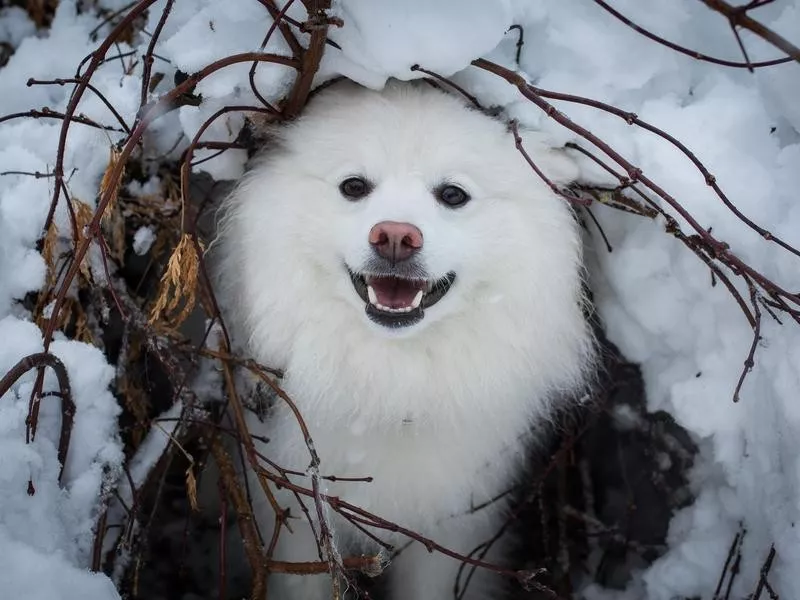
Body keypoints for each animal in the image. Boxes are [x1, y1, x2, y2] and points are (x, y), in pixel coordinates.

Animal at [212, 81, 592, 600]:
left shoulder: (450, 530)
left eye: (452, 194)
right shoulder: (296, 520)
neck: (392, 384)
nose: (394, 235)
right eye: (354, 186)